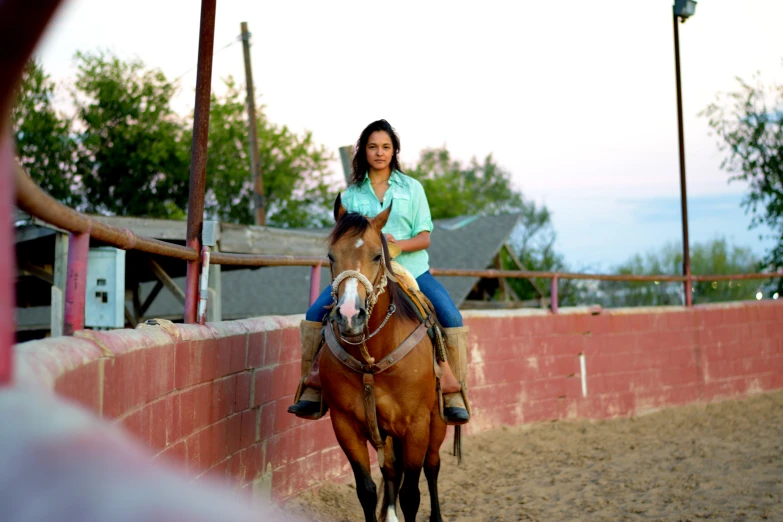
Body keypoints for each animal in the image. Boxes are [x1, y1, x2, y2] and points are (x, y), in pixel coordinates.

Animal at [320, 194, 448, 520]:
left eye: (378, 256)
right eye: (330, 256)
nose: (349, 315)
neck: (372, 358)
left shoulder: (416, 426)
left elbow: (412, 495)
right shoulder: (345, 426)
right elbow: (367, 490)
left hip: (437, 423)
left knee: (432, 467)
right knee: (391, 469)